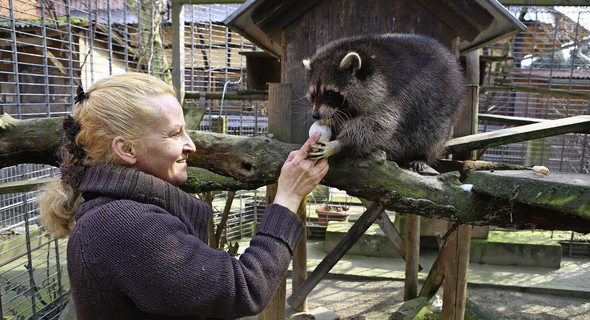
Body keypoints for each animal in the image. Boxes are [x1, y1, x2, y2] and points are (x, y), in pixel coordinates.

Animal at [306, 33, 468, 174]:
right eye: (313, 95)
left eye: (329, 93)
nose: (315, 115)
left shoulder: (393, 95)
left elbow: (379, 125)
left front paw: (340, 143)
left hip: (444, 113)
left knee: (434, 134)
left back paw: (422, 156)